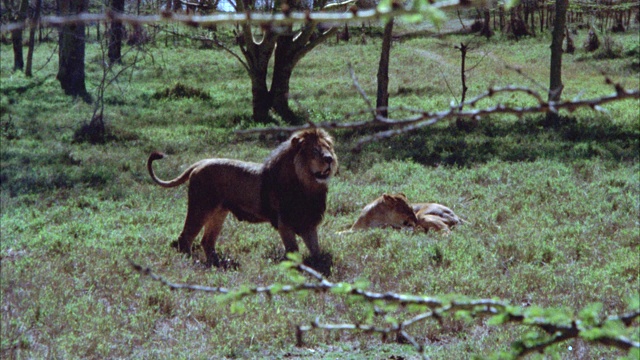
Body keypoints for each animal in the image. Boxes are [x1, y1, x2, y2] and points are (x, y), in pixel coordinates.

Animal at [149, 129, 340, 268]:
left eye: (328, 148)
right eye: (315, 151)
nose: (329, 159)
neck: (307, 185)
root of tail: (200, 163)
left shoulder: (309, 221)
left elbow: (316, 249)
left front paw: (320, 265)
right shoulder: (284, 222)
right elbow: (293, 249)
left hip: (219, 213)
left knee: (207, 241)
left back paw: (218, 264)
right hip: (200, 207)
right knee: (185, 237)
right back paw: (189, 263)